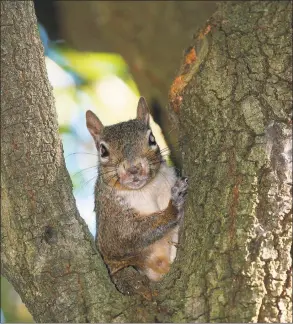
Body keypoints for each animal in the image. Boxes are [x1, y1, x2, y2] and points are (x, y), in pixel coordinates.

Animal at [85, 97, 188, 300]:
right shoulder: (111, 220)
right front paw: (173, 208)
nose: (133, 169)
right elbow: (128, 235)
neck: (146, 189)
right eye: (103, 151)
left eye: (152, 139)